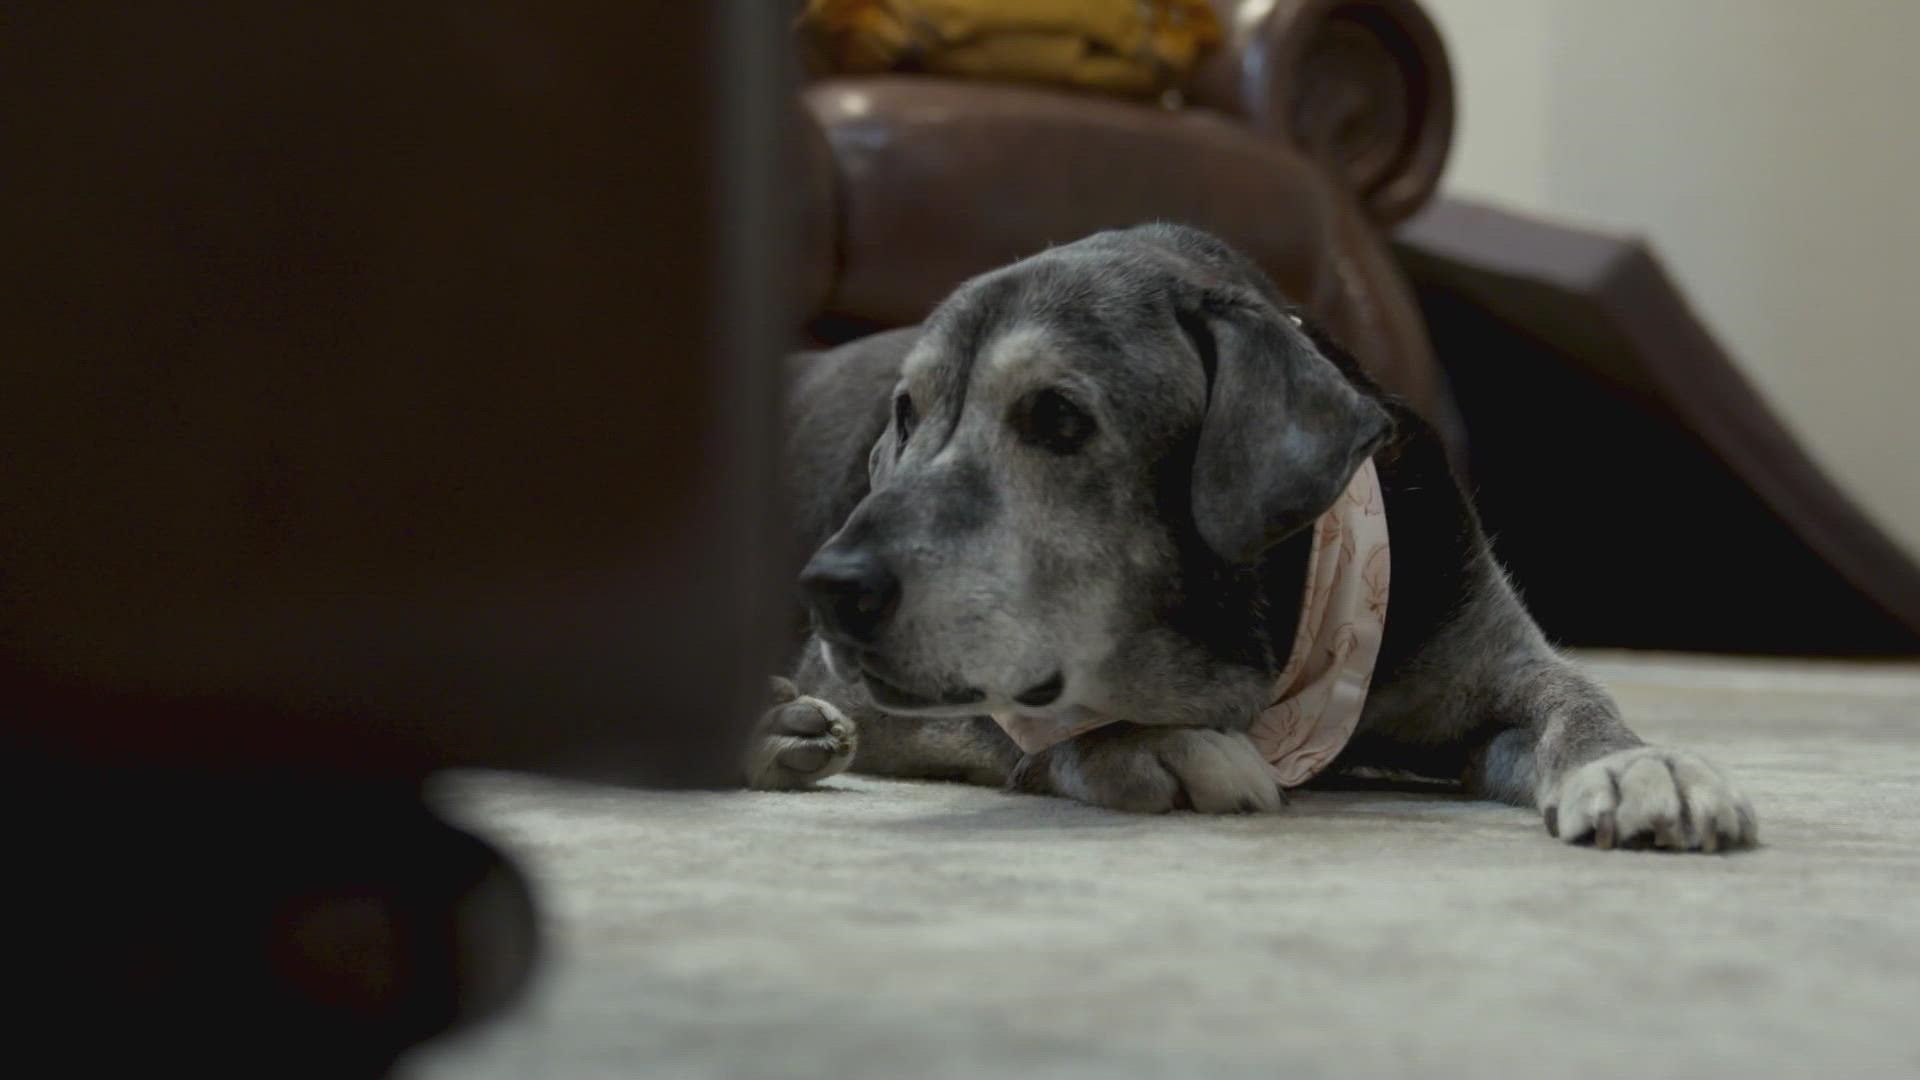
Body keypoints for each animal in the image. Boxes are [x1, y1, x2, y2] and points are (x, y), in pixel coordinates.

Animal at [744, 222, 1758, 849]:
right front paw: (1155, 741)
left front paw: (1638, 763)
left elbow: (1572, 696)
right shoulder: (875, 684)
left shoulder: (1473, 638)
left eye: (1059, 418)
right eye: (907, 413)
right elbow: (1027, 725)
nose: (830, 587)